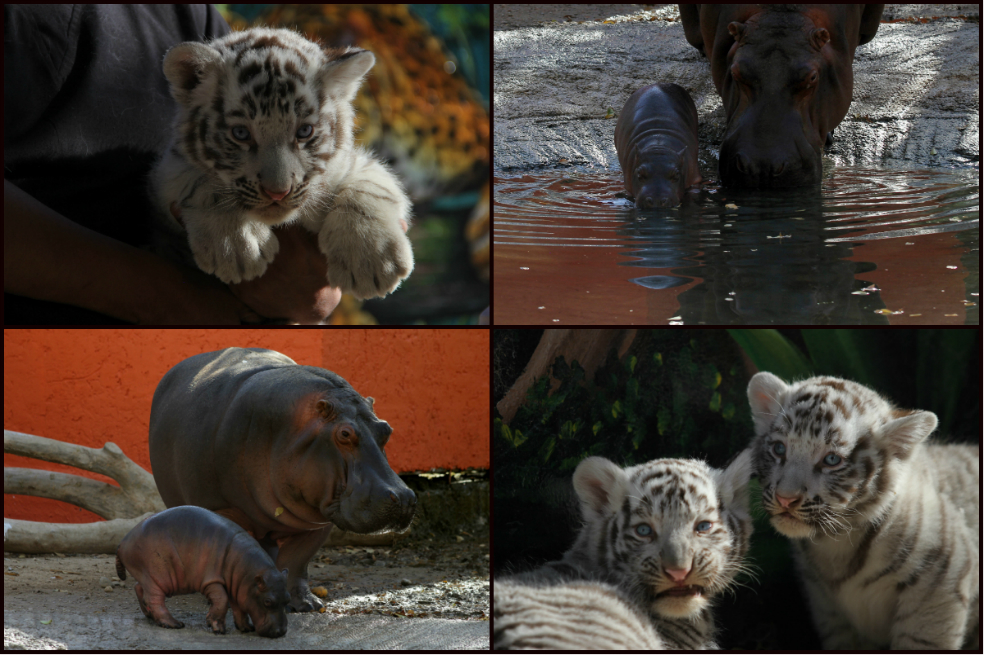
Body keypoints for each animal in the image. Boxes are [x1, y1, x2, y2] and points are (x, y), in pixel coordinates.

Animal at [149, 27, 413, 299]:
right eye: (241, 133)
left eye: (305, 131)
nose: (277, 192)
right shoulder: (165, 174)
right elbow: (203, 184)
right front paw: (236, 244)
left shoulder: (352, 163)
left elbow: (371, 187)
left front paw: (372, 260)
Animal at [747, 372, 980, 650]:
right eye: (779, 449)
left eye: (832, 460)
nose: (785, 499)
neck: (835, 544)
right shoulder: (827, 607)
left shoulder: (940, 582)